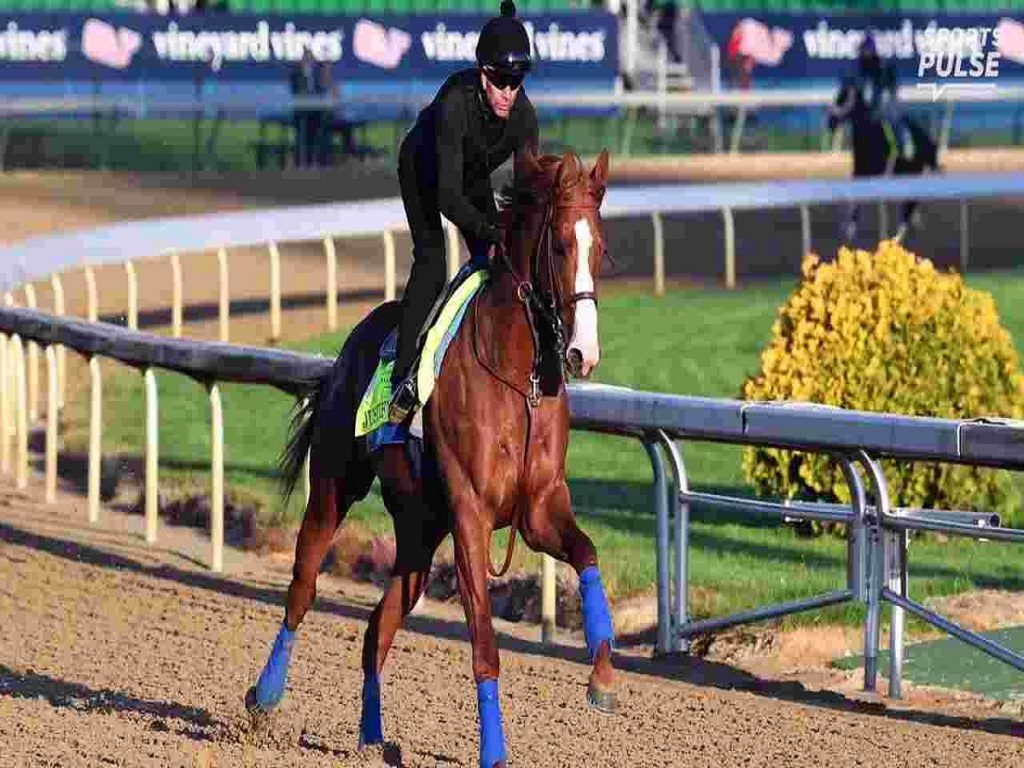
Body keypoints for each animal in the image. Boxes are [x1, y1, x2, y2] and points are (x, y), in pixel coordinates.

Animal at [245, 147, 614, 765]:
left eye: (601, 248)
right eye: (562, 245)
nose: (583, 353)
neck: (517, 376)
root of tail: (351, 344)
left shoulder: (538, 508)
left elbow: (587, 555)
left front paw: (603, 677)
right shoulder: (470, 514)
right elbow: (484, 642)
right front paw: (494, 751)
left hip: (420, 530)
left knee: (378, 625)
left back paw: (372, 736)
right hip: (335, 488)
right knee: (302, 588)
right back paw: (265, 695)